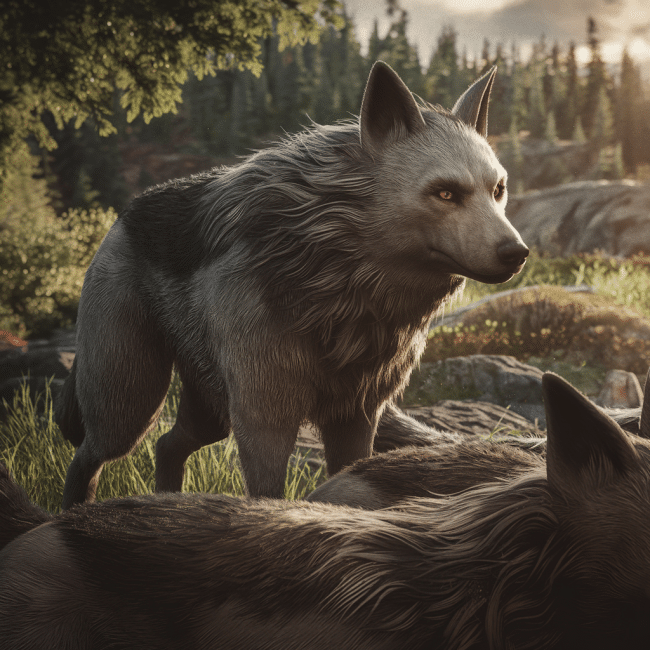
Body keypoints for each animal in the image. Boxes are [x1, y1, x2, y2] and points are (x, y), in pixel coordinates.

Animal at [56, 60, 528, 509]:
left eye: (498, 190)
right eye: (445, 193)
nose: (517, 253)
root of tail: (125, 214)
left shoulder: (356, 416)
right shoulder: (265, 419)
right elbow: (268, 496)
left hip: (207, 413)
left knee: (166, 445)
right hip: (129, 403)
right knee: (88, 456)